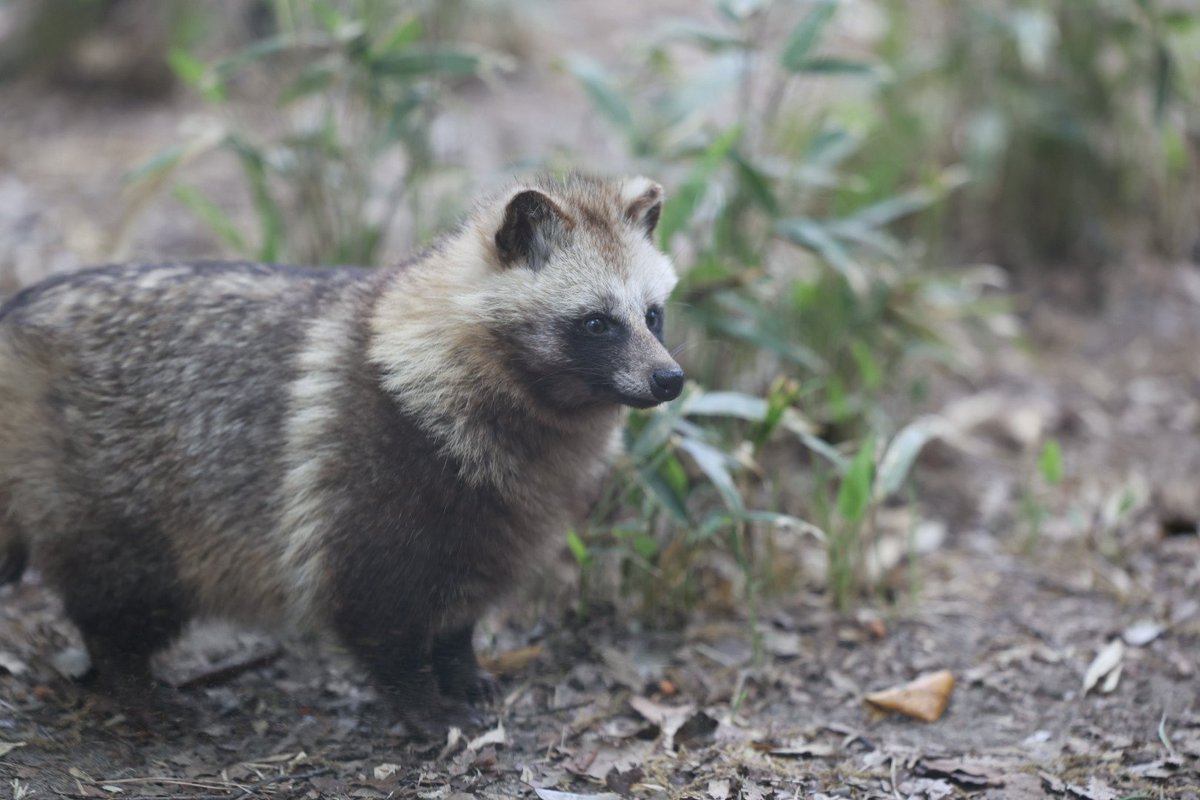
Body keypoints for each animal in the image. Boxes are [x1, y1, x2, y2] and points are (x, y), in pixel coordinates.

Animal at [0, 173, 686, 734]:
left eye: (653, 316)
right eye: (597, 322)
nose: (671, 379)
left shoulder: (498, 510)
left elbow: (462, 598)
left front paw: (459, 665)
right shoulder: (370, 460)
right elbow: (377, 606)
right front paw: (421, 700)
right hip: (111, 480)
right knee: (123, 592)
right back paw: (128, 678)